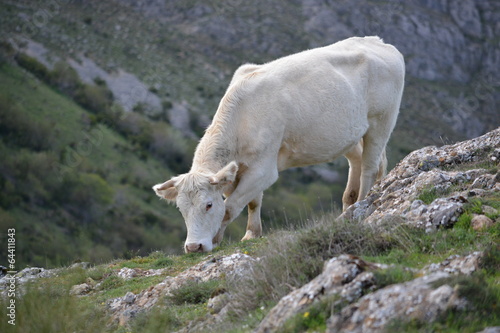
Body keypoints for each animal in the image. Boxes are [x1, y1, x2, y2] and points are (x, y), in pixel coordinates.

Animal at [154, 36, 404, 253]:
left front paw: (216, 239)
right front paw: (251, 234)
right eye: (181, 208)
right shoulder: (242, 169)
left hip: (382, 120)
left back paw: (361, 204)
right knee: (359, 161)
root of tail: (377, 41)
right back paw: (348, 207)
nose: (193, 247)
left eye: (208, 205)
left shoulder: (264, 168)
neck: (243, 117)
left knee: (370, 166)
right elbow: (253, 202)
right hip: (350, 134)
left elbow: (230, 208)